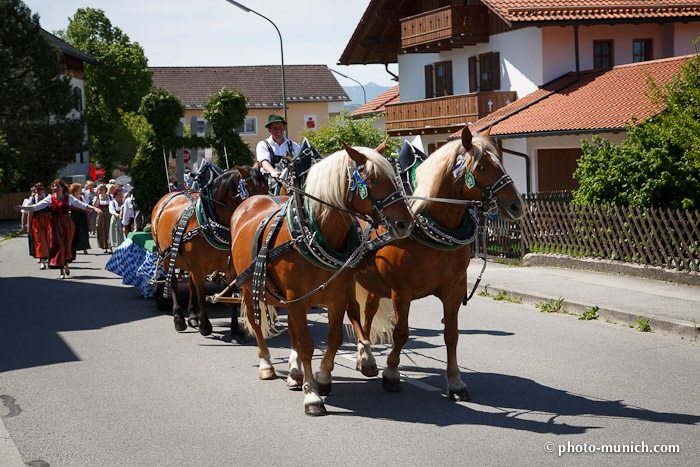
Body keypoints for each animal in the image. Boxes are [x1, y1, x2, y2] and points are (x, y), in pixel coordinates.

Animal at [150, 165, 268, 344]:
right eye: (253, 190)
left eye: (268, 188)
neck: (210, 222)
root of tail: (169, 195)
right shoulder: (199, 268)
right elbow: (202, 298)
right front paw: (205, 326)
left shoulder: (230, 269)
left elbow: (231, 299)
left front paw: (235, 331)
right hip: (167, 258)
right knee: (173, 284)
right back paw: (179, 319)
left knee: (190, 284)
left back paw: (193, 317)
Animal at [230, 144, 412, 416]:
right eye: (372, 180)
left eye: (395, 178)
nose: (405, 224)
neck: (312, 233)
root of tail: (248, 203)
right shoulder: (296, 298)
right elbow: (307, 344)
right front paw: (312, 395)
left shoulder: (336, 296)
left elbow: (334, 339)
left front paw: (323, 378)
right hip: (248, 287)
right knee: (255, 321)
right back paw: (266, 365)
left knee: (293, 329)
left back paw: (294, 373)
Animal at [318, 127, 524, 402]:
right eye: (481, 167)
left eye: (501, 160)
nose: (517, 205)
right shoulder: (401, 291)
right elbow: (401, 333)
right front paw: (392, 373)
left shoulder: (454, 290)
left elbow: (452, 335)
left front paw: (455, 382)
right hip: (347, 279)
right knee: (354, 313)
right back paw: (367, 358)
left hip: (372, 281)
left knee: (369, 311)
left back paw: (365, 356)